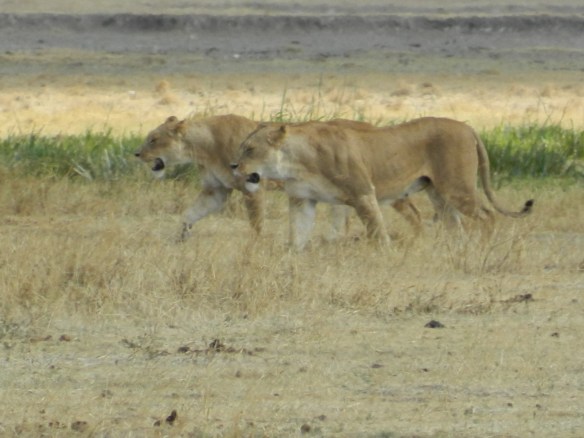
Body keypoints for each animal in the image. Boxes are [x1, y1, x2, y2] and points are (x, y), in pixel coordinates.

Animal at [135, 115, 423, 242]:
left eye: (154, 139)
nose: (136, 153)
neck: (203, 147)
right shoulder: (215, 191)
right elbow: (190, 213)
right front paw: (181, 236)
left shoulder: (252, 185)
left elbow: (256, 221)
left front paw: (256, 242)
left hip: (384, 185)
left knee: (413, 211)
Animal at [230, 117, 533, 249]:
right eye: (241, 148)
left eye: (250, 149)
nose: (233, 166)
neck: (296, 163)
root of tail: (468, 126)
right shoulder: (304, 200)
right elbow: (297, 234)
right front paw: (291, 258)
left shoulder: (363, 194)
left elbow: (377, 231)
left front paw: (385, 255)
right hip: (439, 193)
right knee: (455, 224)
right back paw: (457, 250)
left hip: (457, 187)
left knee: (487, 215)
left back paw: (483, 247)